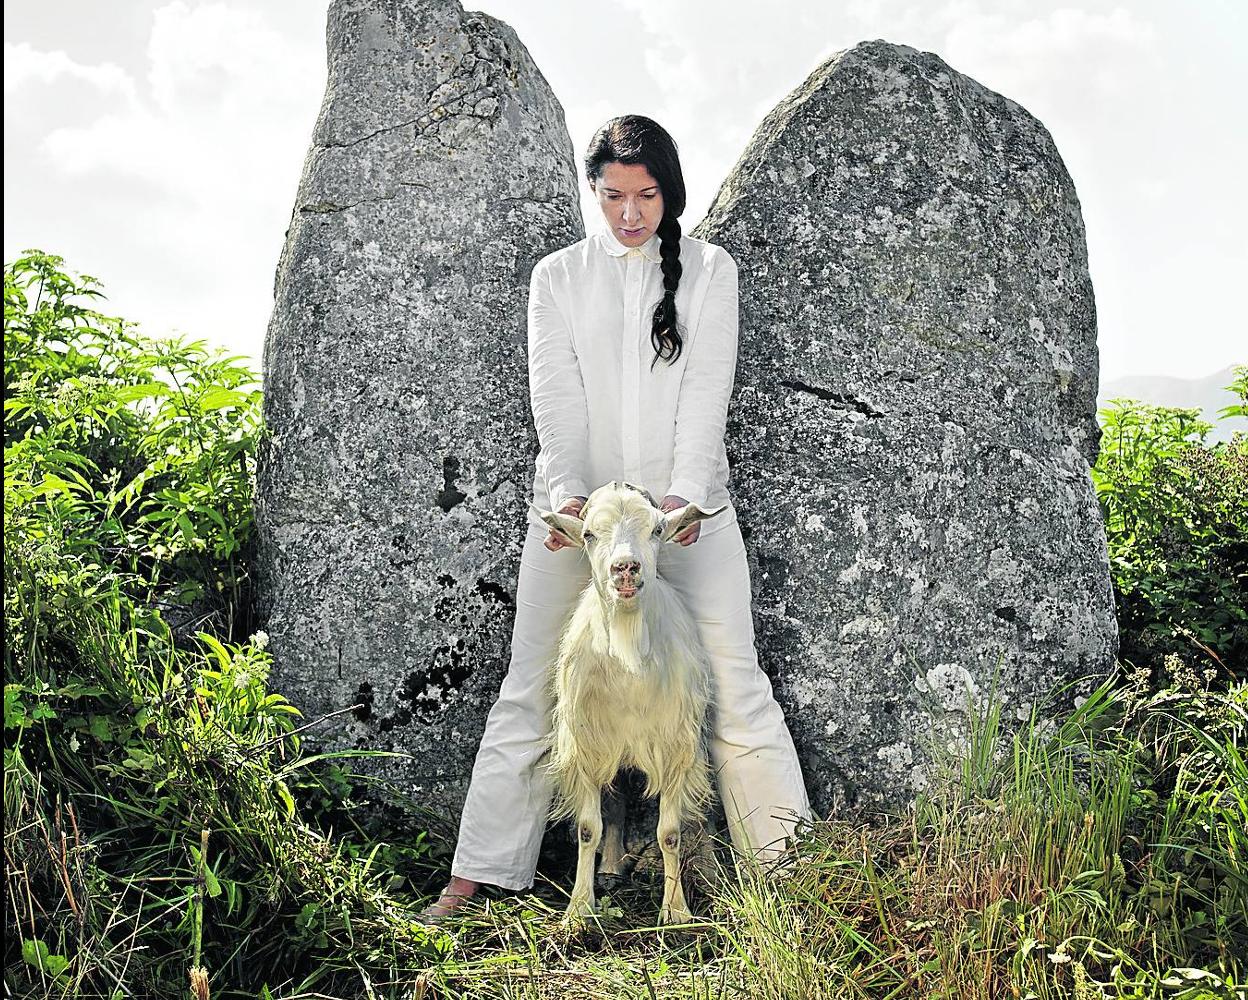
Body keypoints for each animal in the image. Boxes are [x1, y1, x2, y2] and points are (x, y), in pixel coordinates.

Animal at [534, 479, 728, 923]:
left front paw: (676, 911)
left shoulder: (675, 746)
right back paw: (610, 865)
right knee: (617, 799)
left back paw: (708, 868)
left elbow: (670, 833)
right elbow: (589, 827)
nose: (625, 567)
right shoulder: (587, 746)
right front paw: (579, 907)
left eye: (657, 529)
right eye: (589, 534)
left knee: (700, 809)